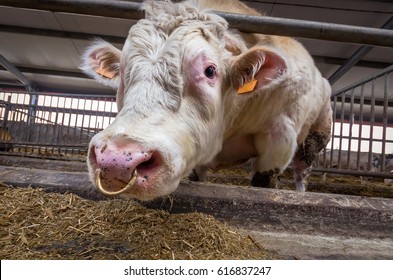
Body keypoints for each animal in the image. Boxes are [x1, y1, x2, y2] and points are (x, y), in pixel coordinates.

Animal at [82, 0, 330, 201]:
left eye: (210, 70)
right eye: (123, 70)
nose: (117, 161)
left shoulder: (279, 138)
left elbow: (264, 182)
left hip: (315, 137)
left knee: (302, 171)